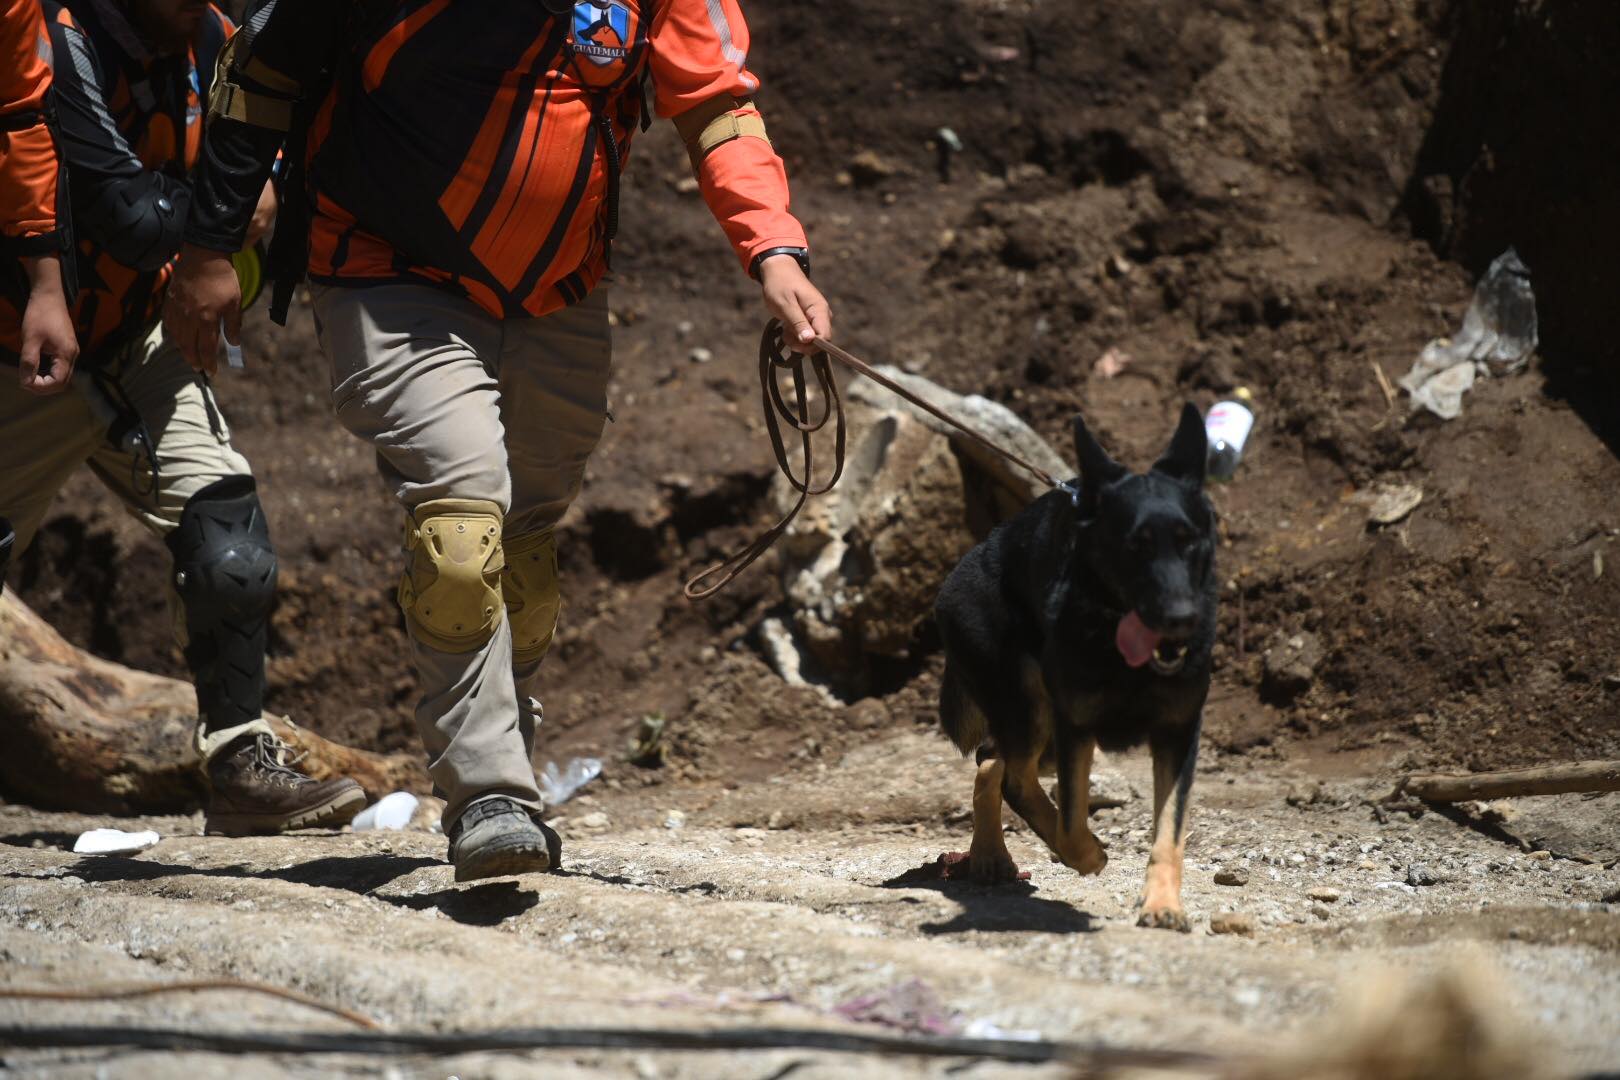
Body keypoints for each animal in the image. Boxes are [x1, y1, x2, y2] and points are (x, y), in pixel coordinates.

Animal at [939, 404, 1218, 932]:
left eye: (1189, 543)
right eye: (1135, 546)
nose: (1182, 620)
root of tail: (962, 566)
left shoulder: (1177, 732)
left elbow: (1169, 831)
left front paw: (1162, 903)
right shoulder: (1076, 725)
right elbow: (1070, 822)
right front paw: (1085, 855)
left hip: (1038, 730)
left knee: (993, 759)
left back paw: (991, 856)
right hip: (1031, 707)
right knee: (1013, 776)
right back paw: (1000, 854)